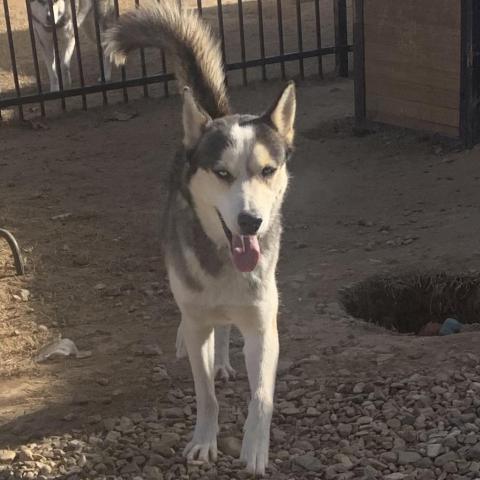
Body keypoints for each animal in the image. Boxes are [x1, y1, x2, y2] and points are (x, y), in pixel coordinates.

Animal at [104, 1, 296, 476]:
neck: (225, 259)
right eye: (222, 173)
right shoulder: (197, 322)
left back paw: (225, 356)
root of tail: (215, 113)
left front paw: (254, 449)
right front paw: (204, 441)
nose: (250, 221)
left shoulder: (263, 326)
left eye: (268, 170)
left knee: (224, 326)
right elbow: (205, 392)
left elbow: (261, 396)